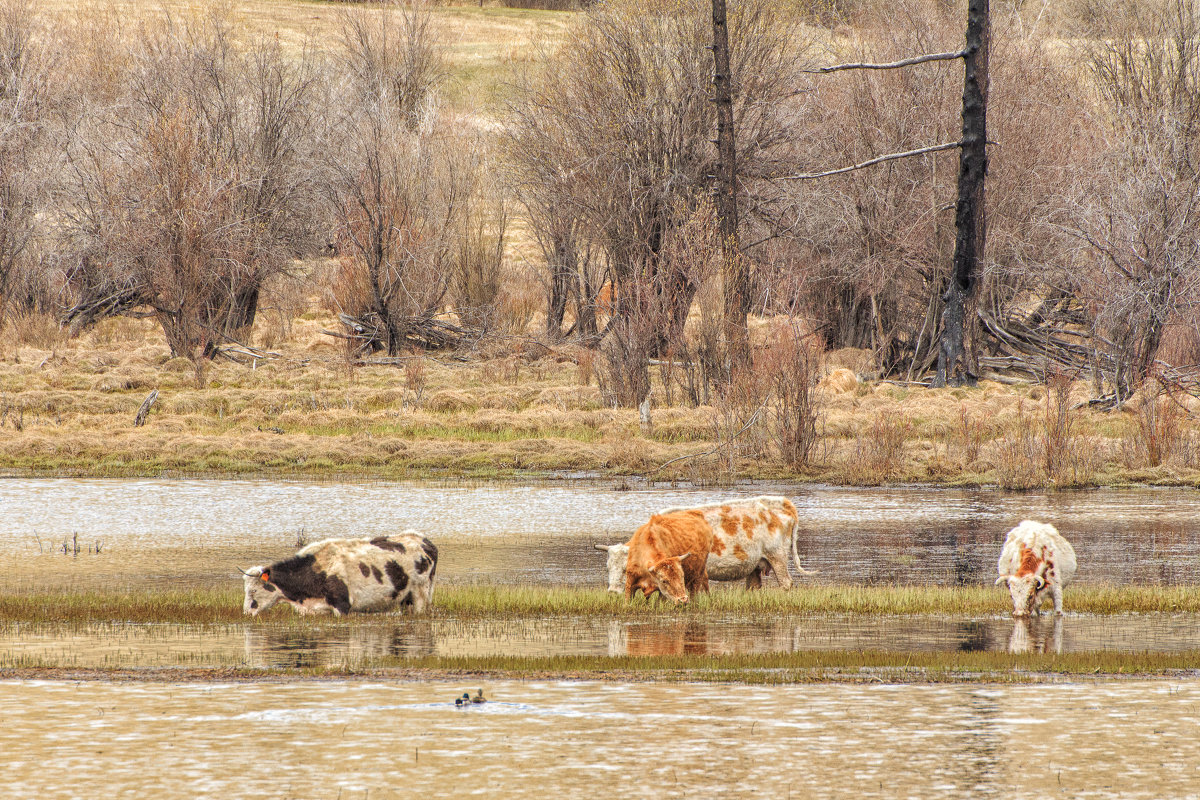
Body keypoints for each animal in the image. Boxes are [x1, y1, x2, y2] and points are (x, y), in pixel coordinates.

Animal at [241, 532, 439, 618]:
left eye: (253, 591)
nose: (246, 612)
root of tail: (425, 541)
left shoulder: (342, 605)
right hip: (407, 600)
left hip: (421, 595)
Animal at [592, 494, 816, 594]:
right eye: (607, 568)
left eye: (626, 569)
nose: (612, 591)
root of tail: (782, 501)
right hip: (756, 564)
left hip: (777, 557)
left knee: (786, 583)